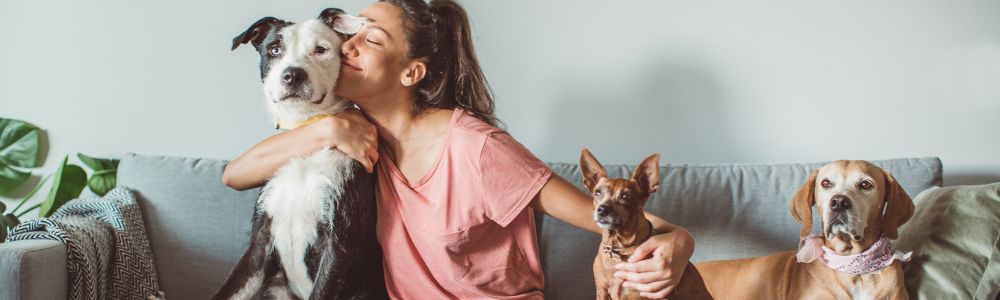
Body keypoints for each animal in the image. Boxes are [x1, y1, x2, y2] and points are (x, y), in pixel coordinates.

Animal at [215, 8, 386, 298]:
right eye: (274, 49)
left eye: (321, 49)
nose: (293, 75)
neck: (305, 134)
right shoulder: (261, 237)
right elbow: (230, 288)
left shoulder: (340, 243)